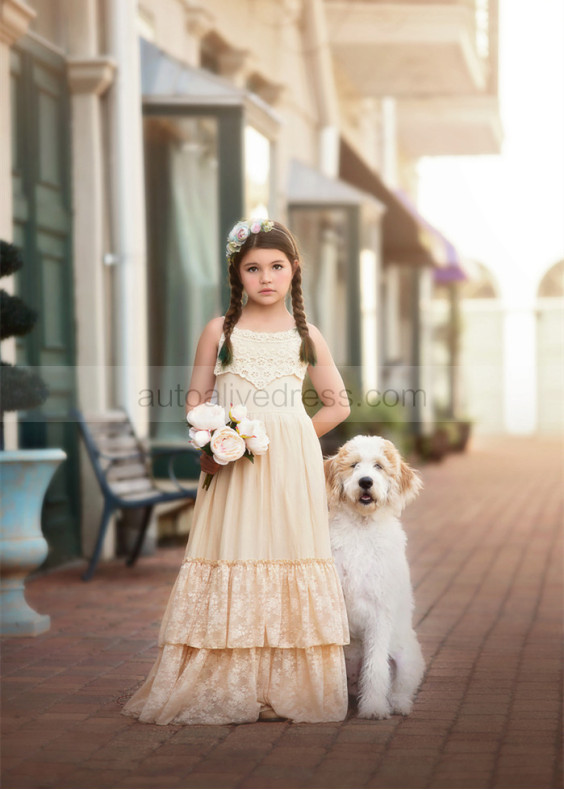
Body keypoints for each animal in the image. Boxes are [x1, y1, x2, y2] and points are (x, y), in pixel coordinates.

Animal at [324, 436, 426, 720]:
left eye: (379, 466)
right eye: (354, 464)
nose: (365, 482)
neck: (362, 527)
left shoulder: (380, 613)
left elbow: (377, 668)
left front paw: (374, 708)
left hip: (409, 658)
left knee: (401, 688)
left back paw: (398, 705)